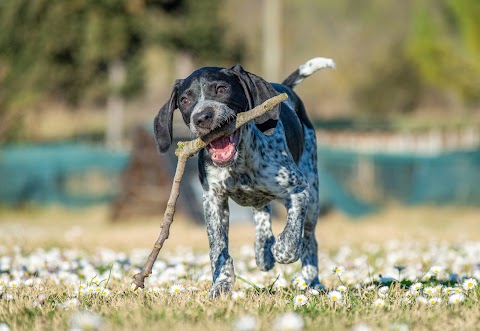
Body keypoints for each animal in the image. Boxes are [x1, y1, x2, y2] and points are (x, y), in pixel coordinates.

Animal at [154, 55, 334, 296]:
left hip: (312, 194)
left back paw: (311, 282)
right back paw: (263, 250)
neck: (238, 164)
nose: (202, 117)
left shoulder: (299, 189)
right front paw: (221, 284)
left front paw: (280, 249)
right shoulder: (213, 201)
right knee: (262, 214)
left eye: (221, 89)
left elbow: (291, 238)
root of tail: (284, 87)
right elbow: (218, 250)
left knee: (308, 239)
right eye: (184, 100)